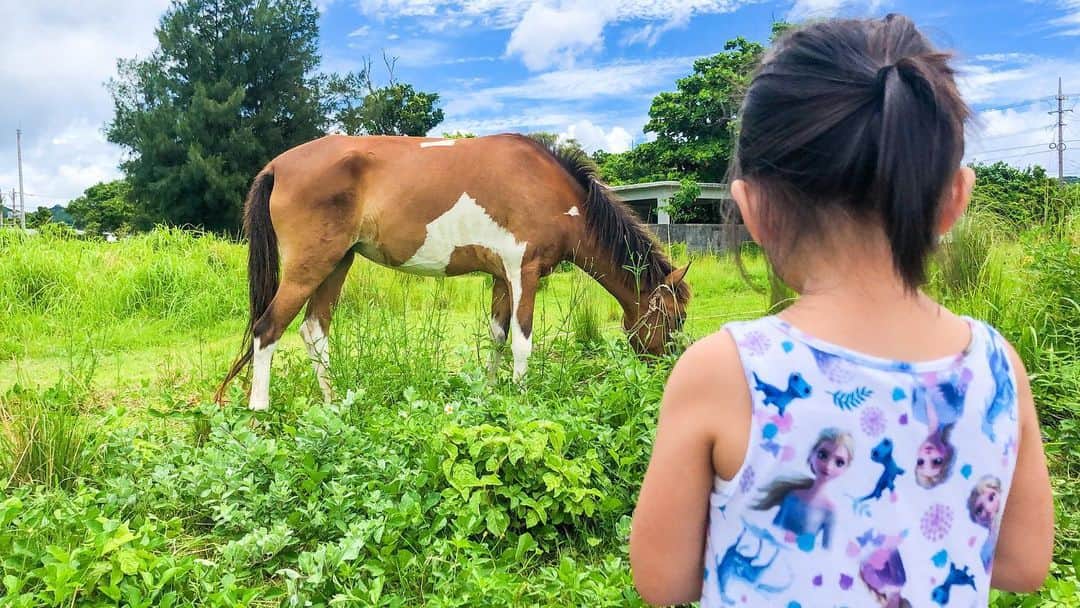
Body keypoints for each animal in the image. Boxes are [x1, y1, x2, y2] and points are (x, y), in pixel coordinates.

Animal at [215, 133, 690, 411]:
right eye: (674, 318)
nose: (667, 371)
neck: (550, 190)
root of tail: (277, 166)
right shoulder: (524, 271)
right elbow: (522, 342)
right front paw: (522, 401)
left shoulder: (501, 277)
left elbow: (497, 336)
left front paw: (492, 393)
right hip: (309, 266)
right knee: (268, 329)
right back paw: (260, 412)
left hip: (337, 263)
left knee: (314, 330)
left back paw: (334, 404)